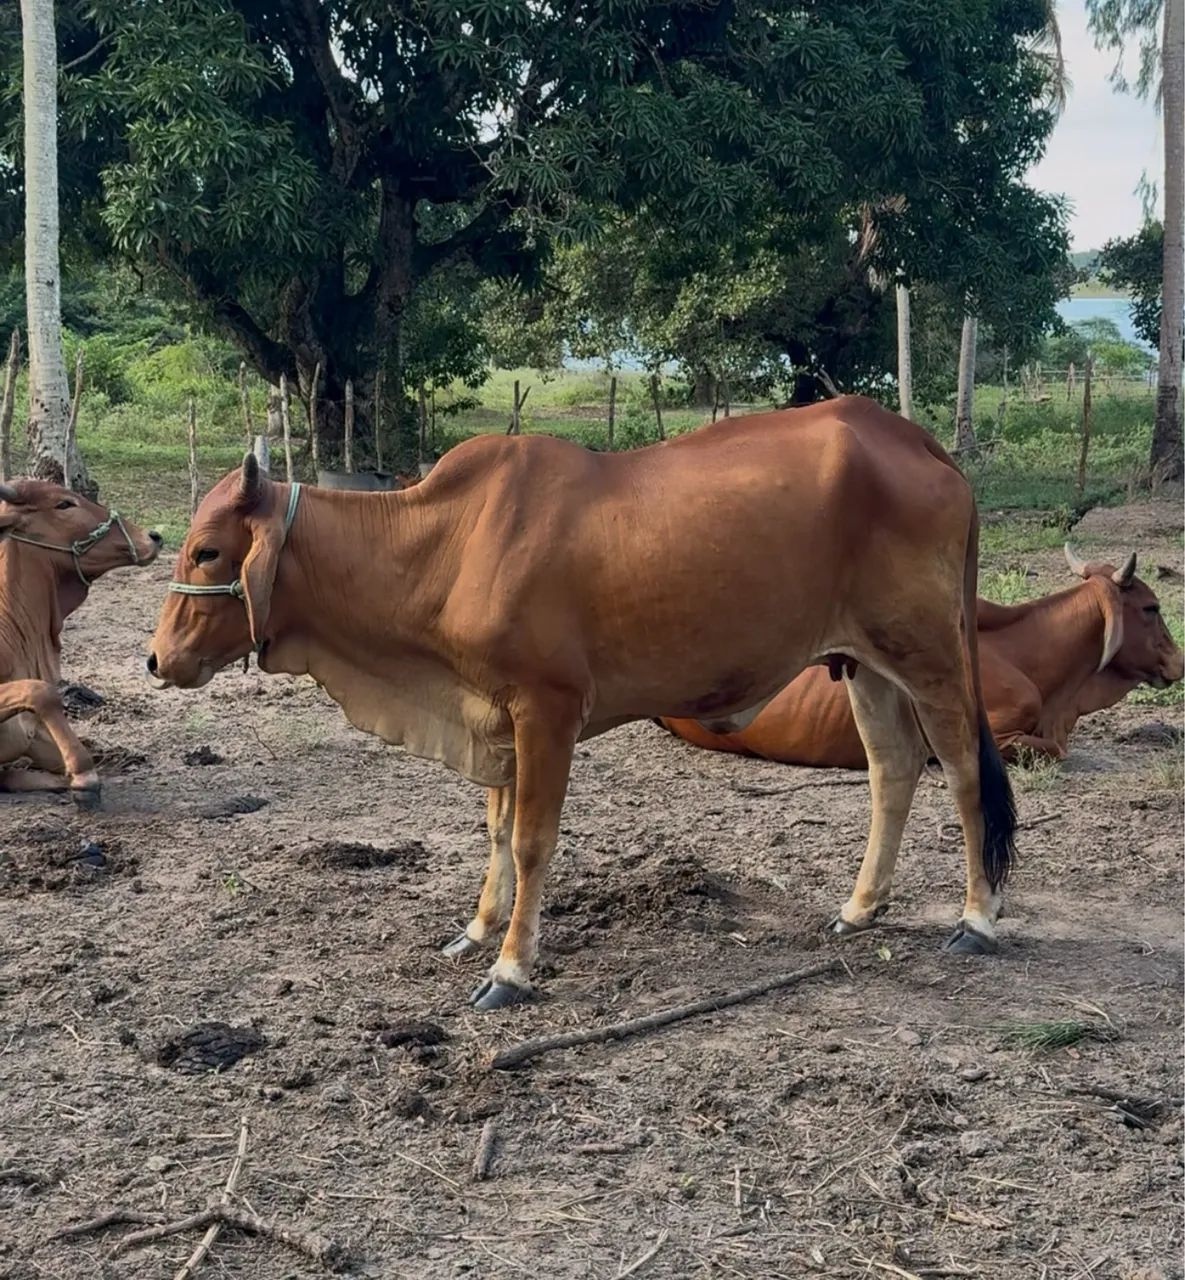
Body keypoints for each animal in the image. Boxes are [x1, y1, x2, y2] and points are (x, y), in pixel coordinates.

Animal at [147, 396, 1017, 1010]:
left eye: (208, 550)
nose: (157, 657)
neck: (443, 545)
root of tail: (910, 437)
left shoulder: (547, 709)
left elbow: (531, 840)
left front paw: (511, 967)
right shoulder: (492, 712)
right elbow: (495, 832)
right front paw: (477, 929)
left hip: (929, 654)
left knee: (962, 769)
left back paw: (976, 919)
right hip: (861, 664)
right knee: (891, 771)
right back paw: (860, 907)